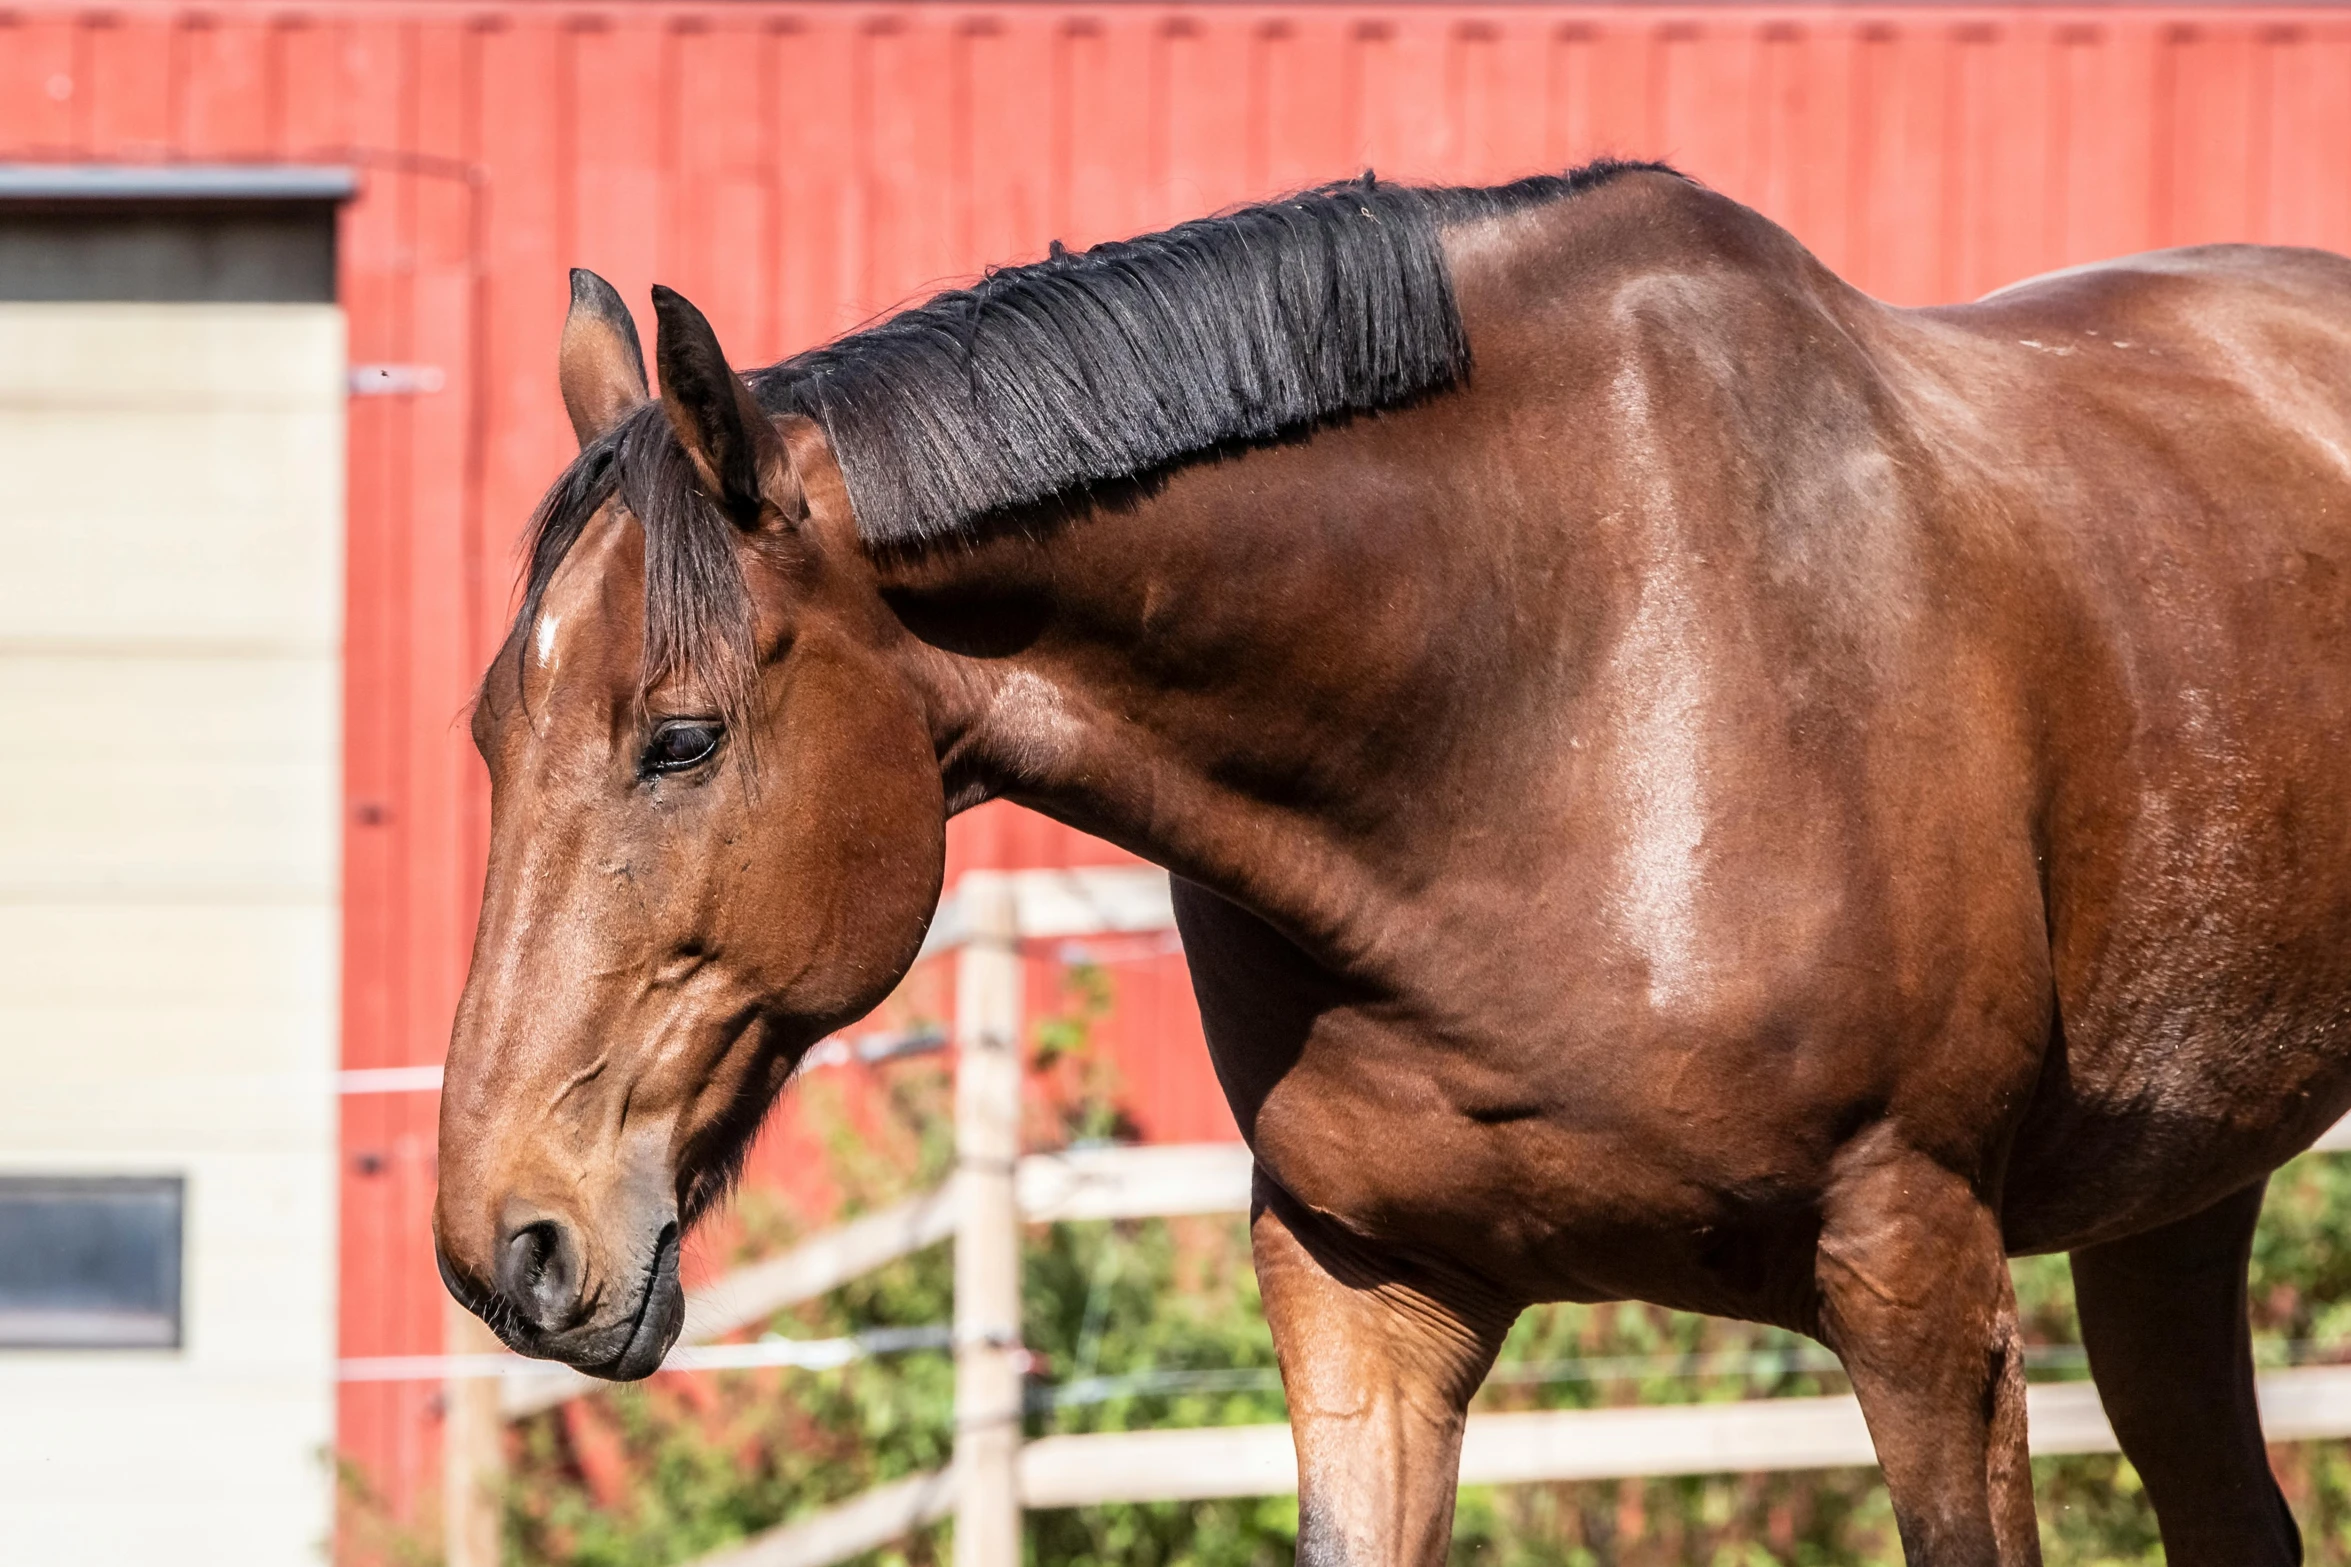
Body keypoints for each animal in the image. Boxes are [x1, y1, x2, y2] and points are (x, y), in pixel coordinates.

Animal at [432, 162, 2351, 1567]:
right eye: (486, 734)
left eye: (680, 737)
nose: (504, 1242)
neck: (1556, 682)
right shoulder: (1364, 1296)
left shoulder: (1918, 1271)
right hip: (2174, 1199)